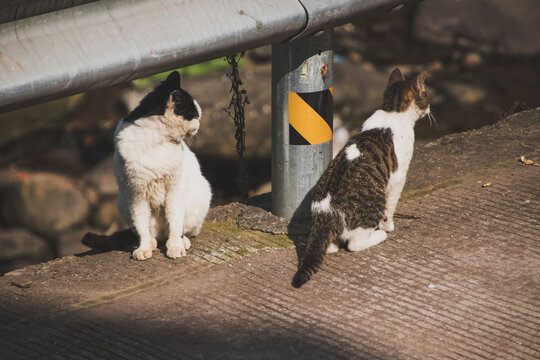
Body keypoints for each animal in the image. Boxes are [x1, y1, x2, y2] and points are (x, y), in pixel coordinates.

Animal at [114, 71, 211, 262]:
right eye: (194, 115)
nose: (199, 124)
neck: (157, 141)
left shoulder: (175, 188)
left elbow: (175, 222)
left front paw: (175, 247)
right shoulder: (136, 193)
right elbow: (142, 225)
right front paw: (143, 248)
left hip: (201, 195)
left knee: (183, 229)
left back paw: (182, 241)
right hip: (124, 204)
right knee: (152, 232)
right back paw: (150, 243)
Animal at [292, 67, 430, 286]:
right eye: (427, 96)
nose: (430, 109)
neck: (393, 111)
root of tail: (326, 214)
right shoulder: (398, 178)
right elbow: (391, 207)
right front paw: (388, 226)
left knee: (329, 247)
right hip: (371, 207)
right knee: (354, 244)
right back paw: (379, 235)